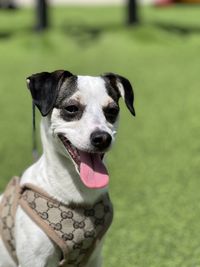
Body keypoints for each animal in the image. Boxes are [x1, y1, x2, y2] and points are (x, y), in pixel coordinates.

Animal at [0, 70, 136, 267]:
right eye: (71, 108)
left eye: (112, 111)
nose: (103, 138)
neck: (77, 194)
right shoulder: (34, 260)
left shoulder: (95, 258)